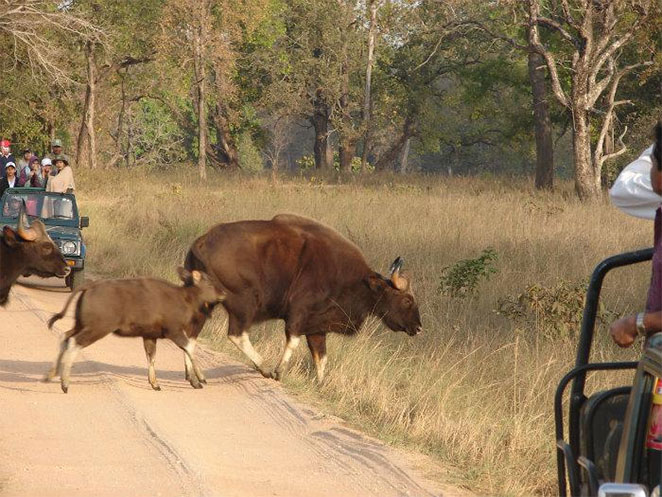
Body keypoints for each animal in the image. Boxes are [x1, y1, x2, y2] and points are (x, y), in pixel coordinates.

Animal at [44, 268, 226, 392]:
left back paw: (51, 374)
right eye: (210, 282)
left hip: (81, 324)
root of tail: (89, 286)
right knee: (74, 342)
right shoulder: (174, 332)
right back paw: (65, 383)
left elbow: (151, 357)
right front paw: (199, 379)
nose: (223, 293)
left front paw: (155, 383)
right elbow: (189, 349)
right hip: (98, 328)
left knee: (65, 336)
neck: (185, 298)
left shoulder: (150, 336)